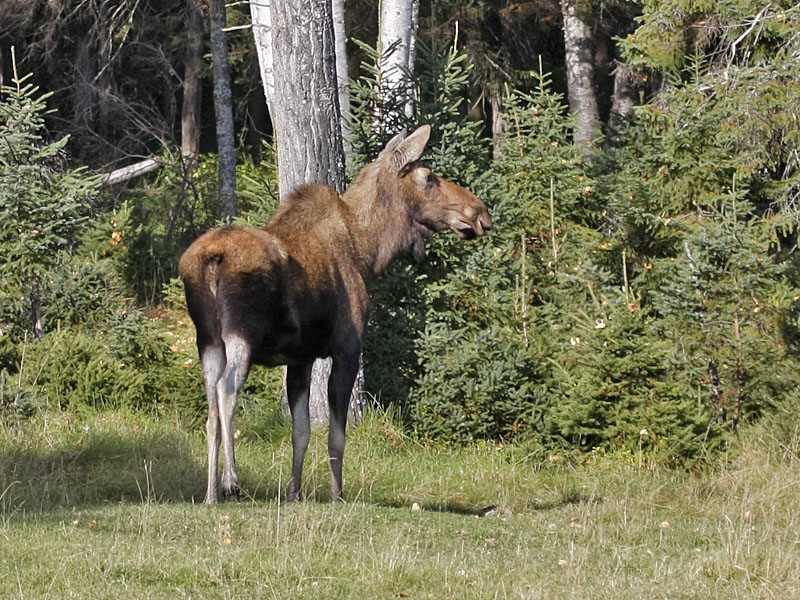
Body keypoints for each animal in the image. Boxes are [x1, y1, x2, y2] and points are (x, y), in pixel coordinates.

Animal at [181, 125, 490, 502]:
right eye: (429, 178)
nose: (480, 213)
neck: (369, 253)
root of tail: (209, 259)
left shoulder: (300, 359)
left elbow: (300, 433)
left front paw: (295, 494)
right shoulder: (346, 349)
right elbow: (336, 437)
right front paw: (336, 495)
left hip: (207, 339)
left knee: (210, 408)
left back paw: (210, 493)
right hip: (241, 334)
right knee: (226, 393)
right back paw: (231, 482)